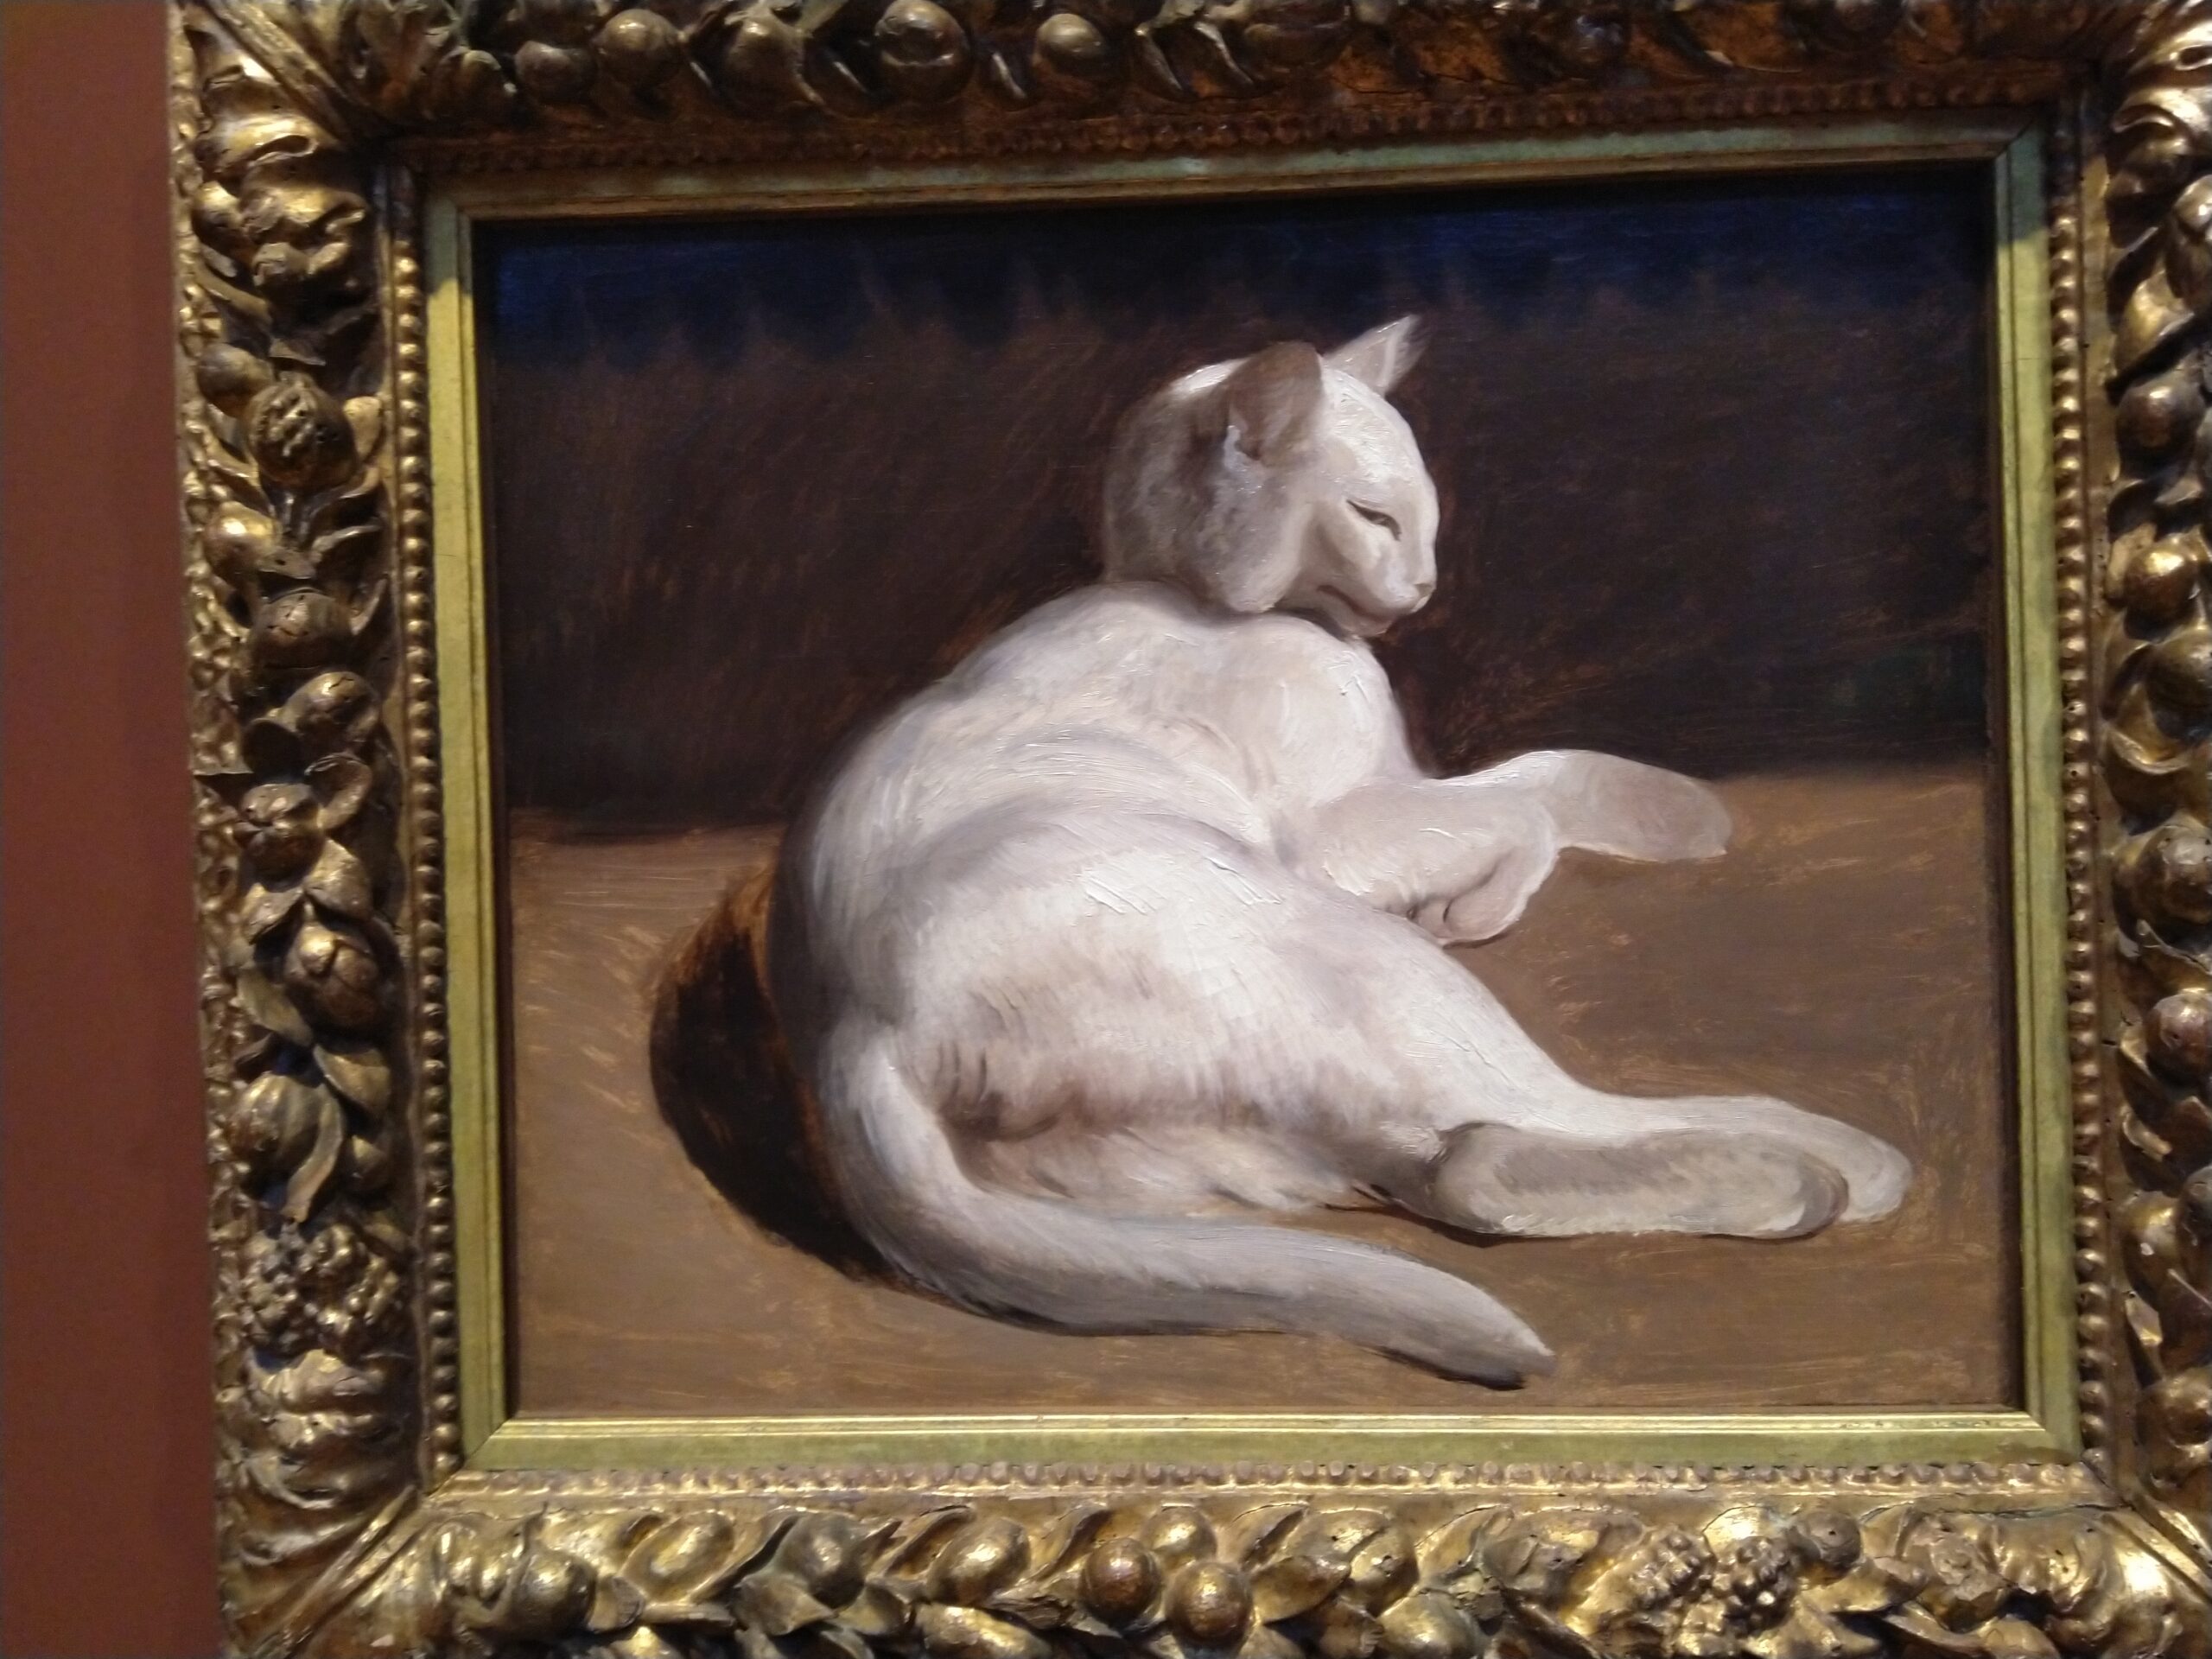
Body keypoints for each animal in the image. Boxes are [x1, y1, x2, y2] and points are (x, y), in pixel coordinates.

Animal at [763, 316, 1912, 1385]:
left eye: (1428, 518)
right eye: (1375, 518)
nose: (1427, 589)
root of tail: (859, 1039)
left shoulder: (1404, 790)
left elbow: (1545, 774)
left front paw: (1677, 816)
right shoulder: (1336, 834)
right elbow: (1522, 807)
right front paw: (1480, 907)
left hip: (1253, 1124)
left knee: (1459, 1166)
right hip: (1357, 961)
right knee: (1522, 1132)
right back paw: (1826, 1166)